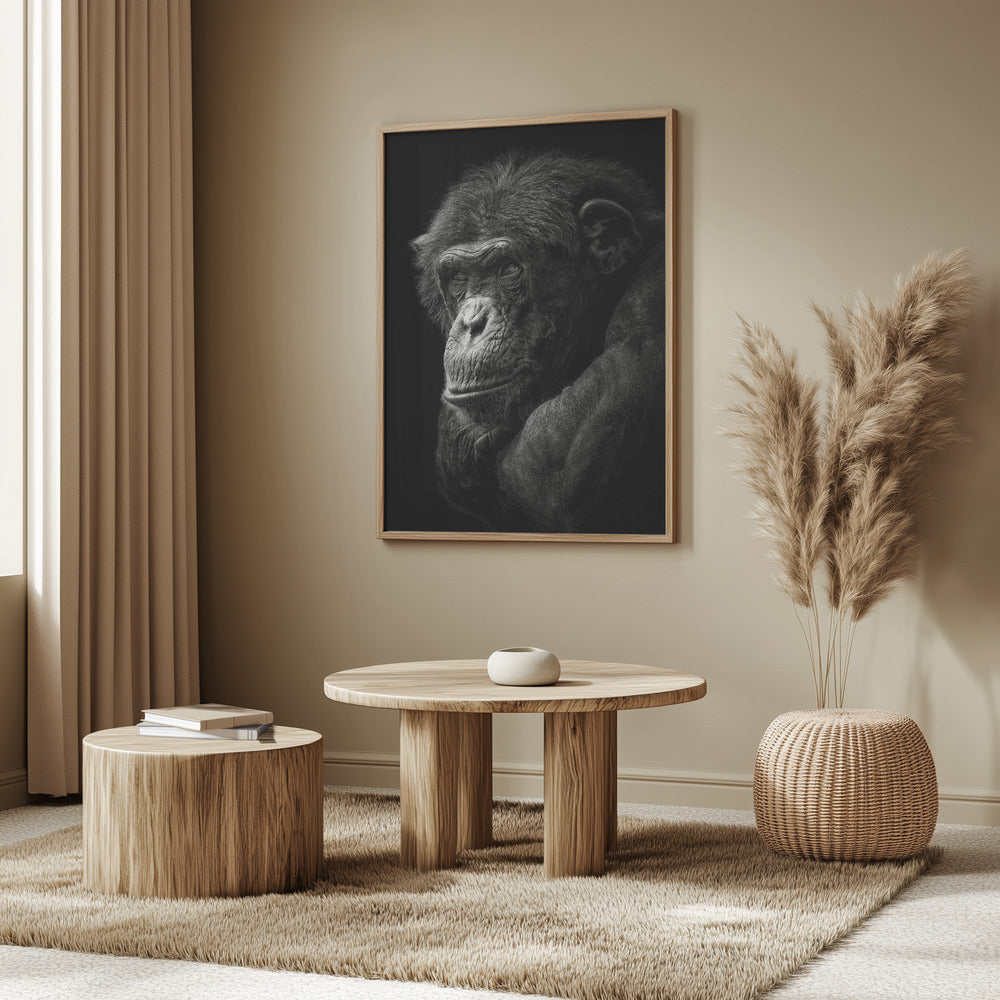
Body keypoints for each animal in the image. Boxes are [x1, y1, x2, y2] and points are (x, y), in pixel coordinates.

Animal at [411, 151, 666, 534]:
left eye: (507, 269)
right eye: (458, 278)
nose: (472, 323)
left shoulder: (650, 304)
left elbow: (552, 470)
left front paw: (458, 436)